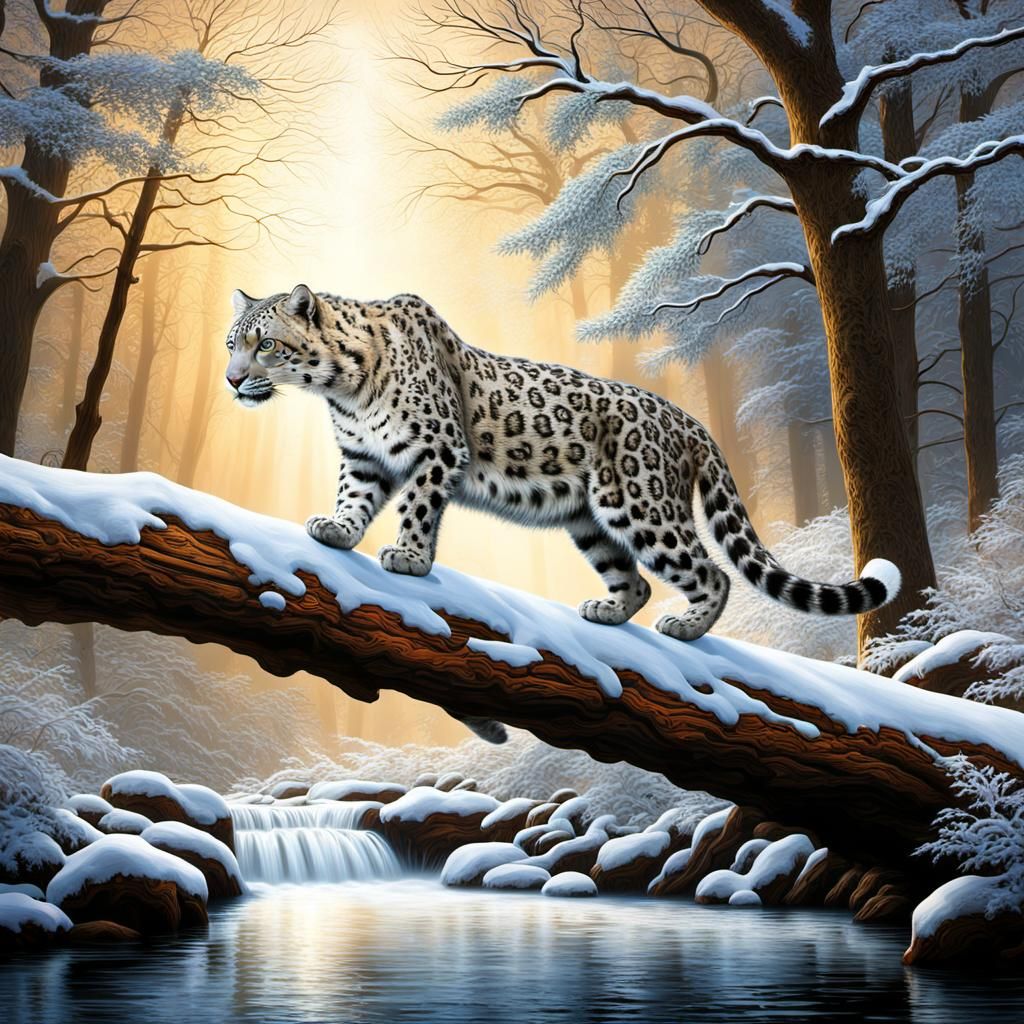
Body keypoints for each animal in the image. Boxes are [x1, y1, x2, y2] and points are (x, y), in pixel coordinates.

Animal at [224, 285, 901, 741]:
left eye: (267, 345)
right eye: (233, 343)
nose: (231, 381)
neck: (341, 389)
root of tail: (689, 421)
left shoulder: (439, 450)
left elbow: (417, 506)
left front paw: (408, 558)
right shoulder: (364, 457)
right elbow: (354, 497)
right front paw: (337, 531)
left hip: (640, 504)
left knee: (710, 571)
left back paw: (685, 627)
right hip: (591, 522)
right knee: (635, 580)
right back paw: (607, 612)